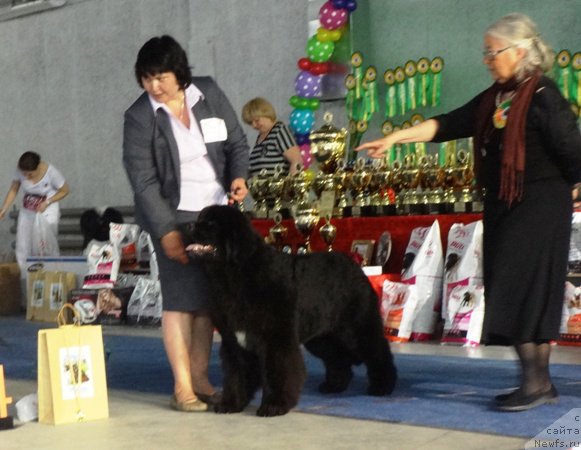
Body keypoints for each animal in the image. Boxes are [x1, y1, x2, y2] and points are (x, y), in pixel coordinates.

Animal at [188, 206, 396, 416]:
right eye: (200, 218)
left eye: (211, 223)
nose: (188, 225)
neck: (236, 274)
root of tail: (356, 266)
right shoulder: (234, 341)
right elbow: (236, 374)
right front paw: (231, 403)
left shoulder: (277, 339)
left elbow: (278, 371)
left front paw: (274, 405)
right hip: (322, 337)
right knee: (337, 358)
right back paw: (334, 385)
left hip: (356, 329)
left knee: (377, 351)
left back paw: (382, 386)